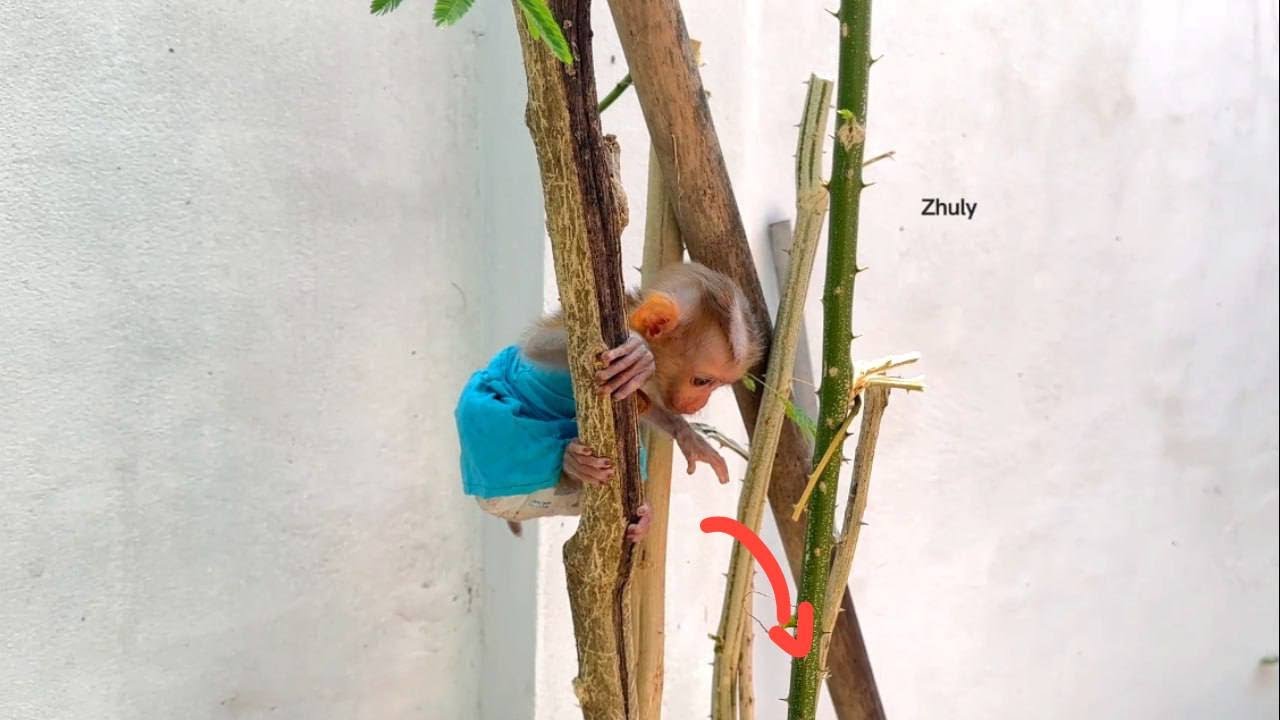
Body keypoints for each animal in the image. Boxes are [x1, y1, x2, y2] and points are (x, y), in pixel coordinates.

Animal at [454, 262, 764, 542]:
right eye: (701, 381)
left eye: (716, 385)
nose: (699, 403)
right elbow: (536, 347)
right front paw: (640, 354)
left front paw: (686, 434)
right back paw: (570, 461)